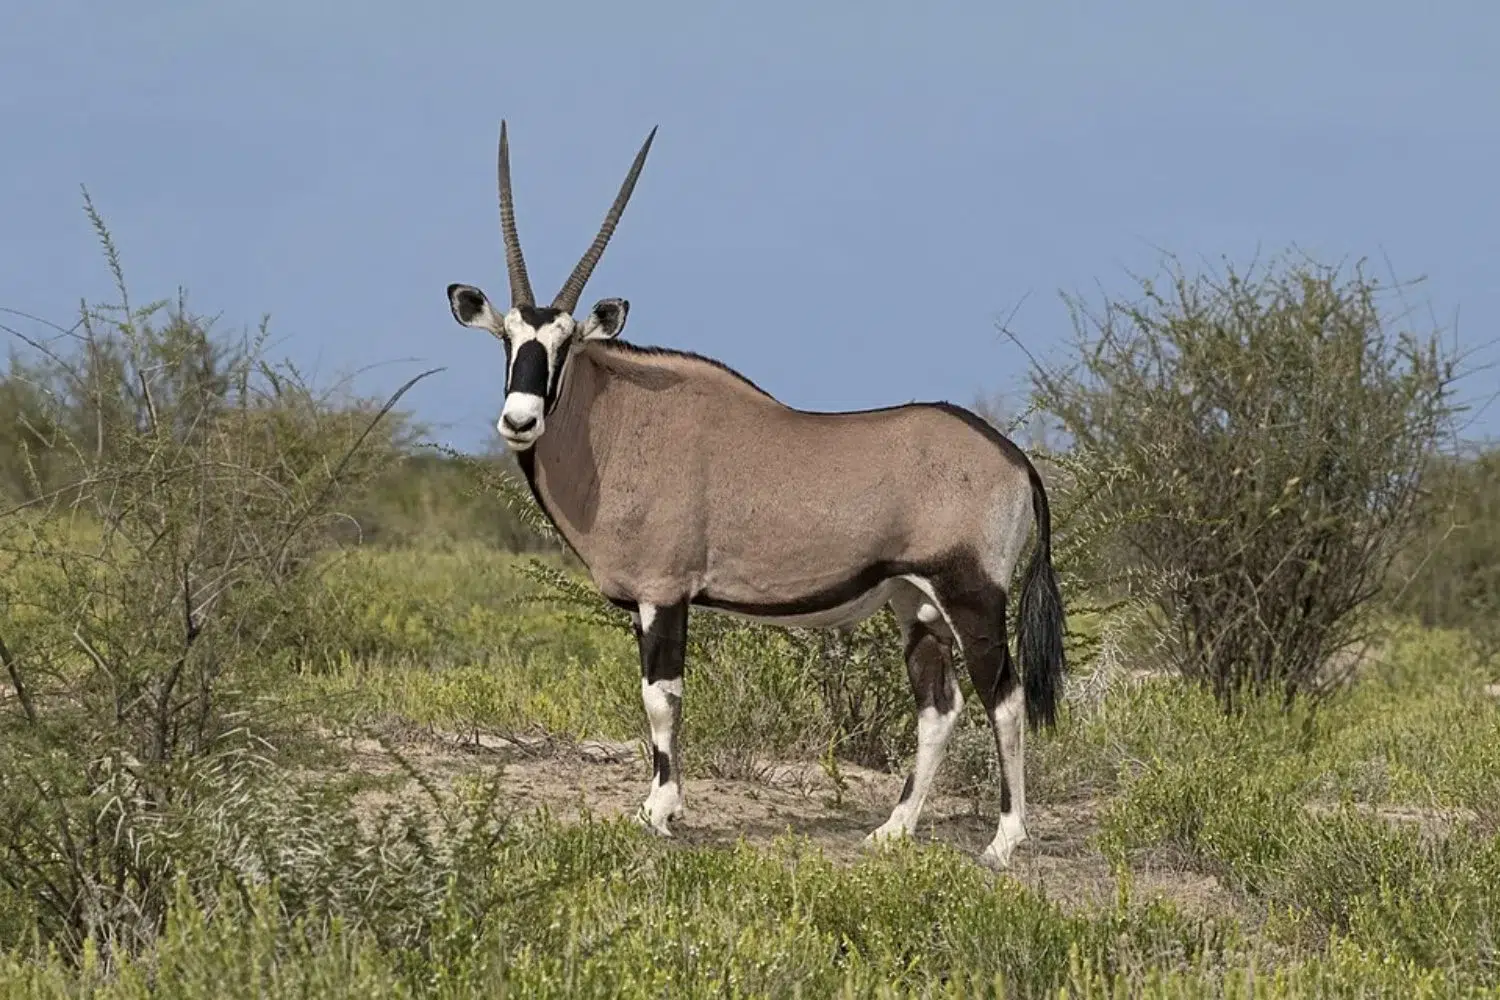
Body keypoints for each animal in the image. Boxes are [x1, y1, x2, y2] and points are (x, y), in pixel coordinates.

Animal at [444, 122, 1067, 868]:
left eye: (565, 343)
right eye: (507, 338)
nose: (520, 420)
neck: (619, 417)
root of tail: (1013, 457)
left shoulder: (664, 595)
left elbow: (662, 698)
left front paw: (660, 811)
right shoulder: (648, 601)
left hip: (971, 596)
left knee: (1004, 697)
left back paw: (1004, 840)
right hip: (914, 603)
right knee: (938, 706)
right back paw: (893, 829)